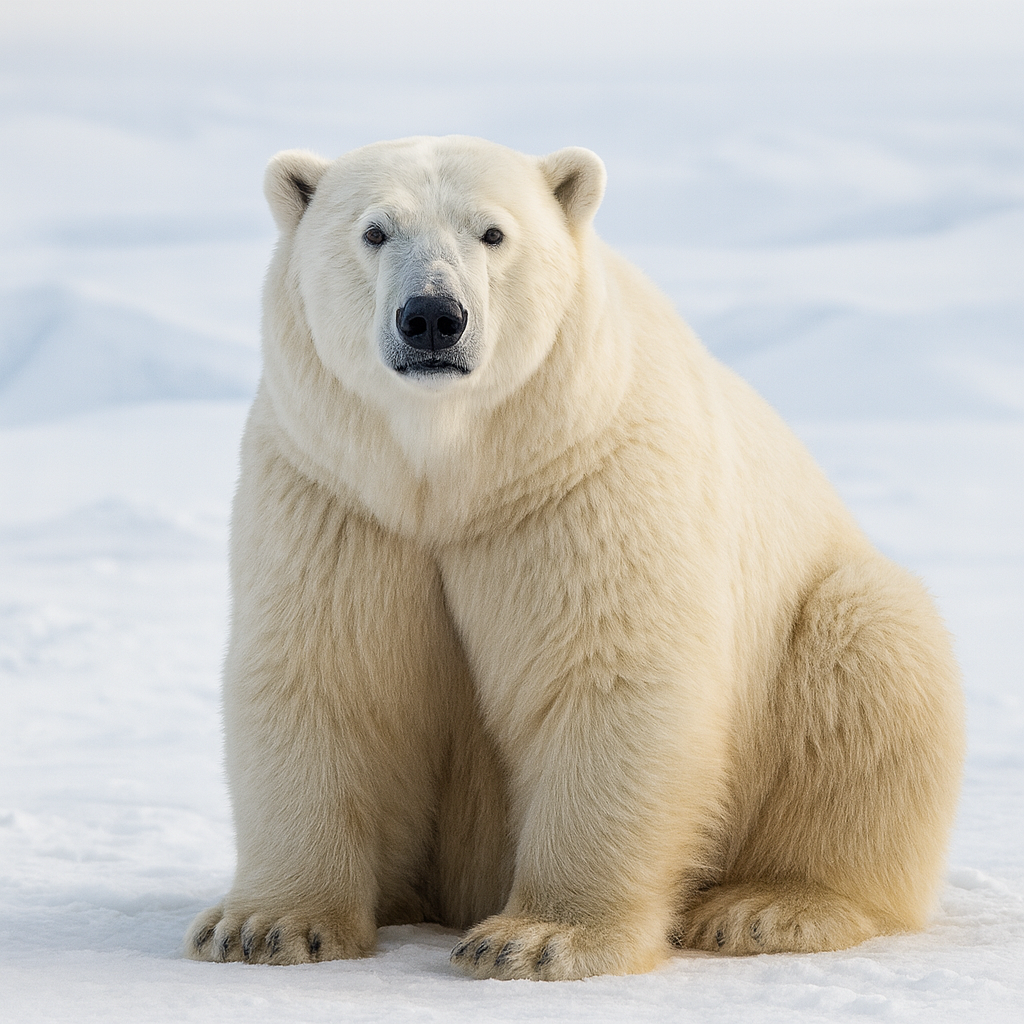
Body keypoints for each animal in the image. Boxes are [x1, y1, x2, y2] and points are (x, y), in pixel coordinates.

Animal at [184, 136, 964, 981]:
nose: (433, 317)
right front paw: (265, 927)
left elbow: (604, 674)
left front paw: (534, 939)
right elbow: (324, 672)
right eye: (375, 230)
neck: (455, 473)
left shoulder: (583, 479)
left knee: (869, 656)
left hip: (820, 621)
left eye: (493, 232)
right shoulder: (338, 497)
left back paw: (768, 907)